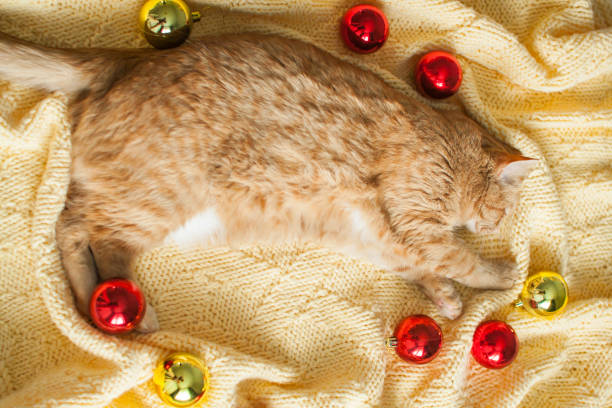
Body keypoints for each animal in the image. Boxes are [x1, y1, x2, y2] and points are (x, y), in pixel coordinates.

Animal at [0, 31, 536, 332]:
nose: (495, 227)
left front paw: (444, 297)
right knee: (81, 233)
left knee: (75, 229)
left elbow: (422, 267)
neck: (442, 142)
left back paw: (100, 307)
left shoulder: (380, 236)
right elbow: (461, 259)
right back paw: (127, 311)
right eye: (503, 211)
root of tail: (121, 61)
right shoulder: (414, 219)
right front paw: (502, 273)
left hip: (153, 211)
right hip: (157, 199)